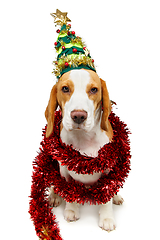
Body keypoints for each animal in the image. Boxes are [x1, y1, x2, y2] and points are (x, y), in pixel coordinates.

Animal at [45, 69, 123, 231]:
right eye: (65, 89)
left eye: (94, 90)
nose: (79, 116)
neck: (83, 138)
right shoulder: (64, 171)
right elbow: (69, 192)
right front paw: (71, 210)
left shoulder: (107, 170)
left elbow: (107, 197)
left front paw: (107, 217)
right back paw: (54, 196)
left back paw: (116, 196)